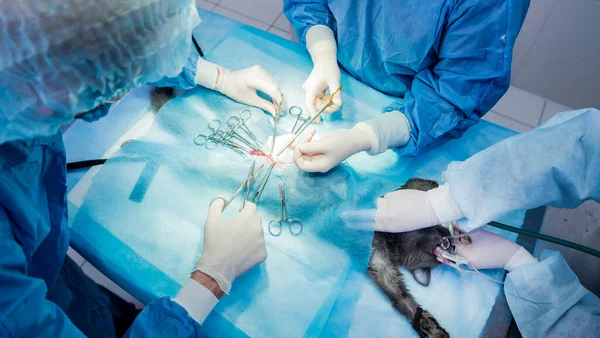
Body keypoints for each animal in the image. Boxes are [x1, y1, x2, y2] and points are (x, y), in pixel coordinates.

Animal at [368, 178, 452, 336]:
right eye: (440, 231)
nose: (453, 244)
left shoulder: (380, 264)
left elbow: (402, 297)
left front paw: (428, 325)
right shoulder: (378, 260)